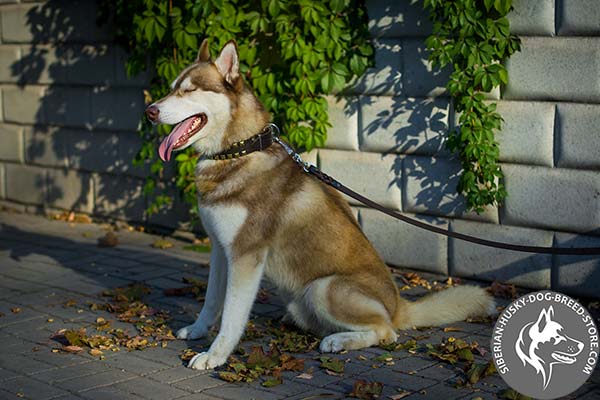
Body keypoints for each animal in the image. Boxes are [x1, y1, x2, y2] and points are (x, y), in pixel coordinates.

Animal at [146, 39, 496, 368]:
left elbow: (232, 316)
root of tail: (399, 305)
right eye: (172, 88)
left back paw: (339, 340)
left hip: (323, 288)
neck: (238, 151)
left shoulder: (246, 256)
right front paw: (196, 331)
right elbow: (211, 302)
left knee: (387, 332)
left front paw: (215, 355)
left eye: (189, 90)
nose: (150, 110)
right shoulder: (221, 249)